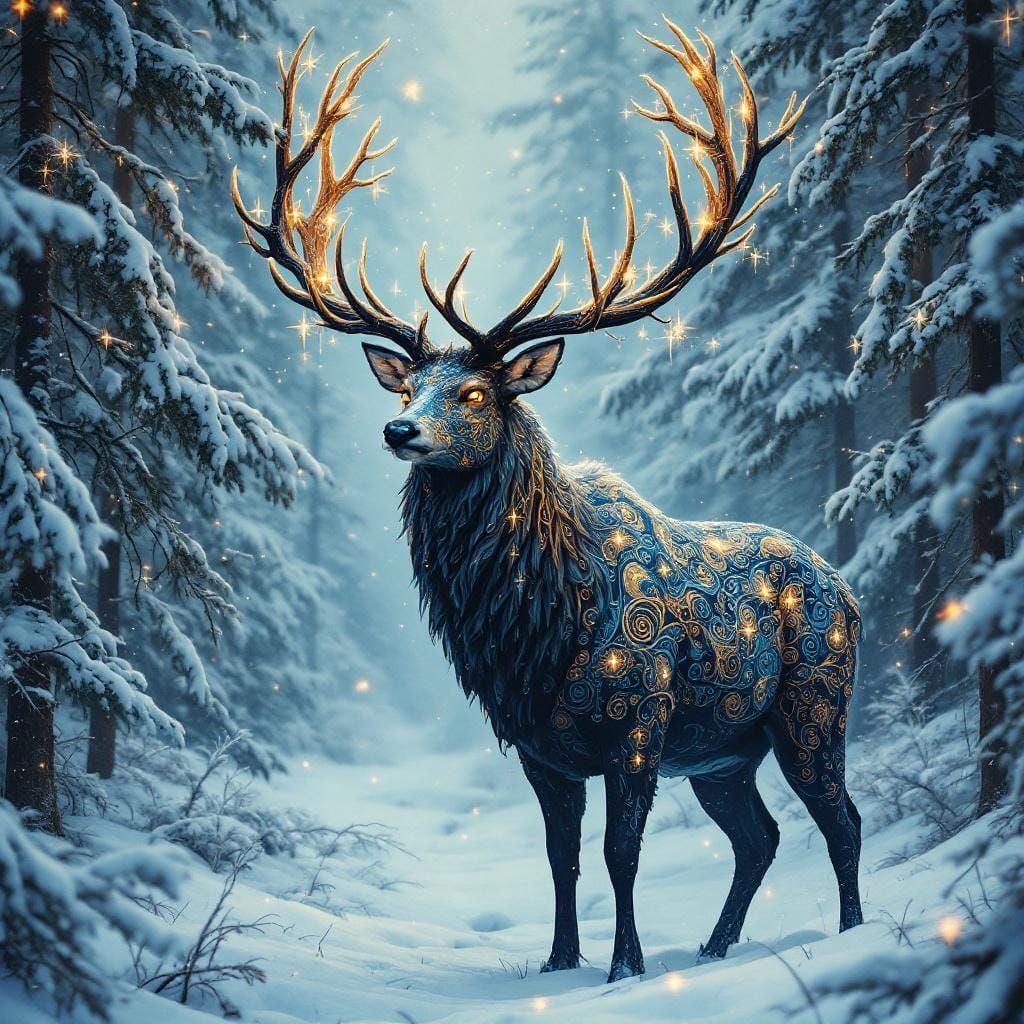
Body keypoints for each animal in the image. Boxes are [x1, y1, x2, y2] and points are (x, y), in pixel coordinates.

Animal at [233, 19, 863, 984]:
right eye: (408, 383)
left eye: (475, 393)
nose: (398, 431)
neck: (538, 624)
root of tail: (852, 589)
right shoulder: (536, 745)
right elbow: (560, 857)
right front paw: (561, 962)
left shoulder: (640, 720)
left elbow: (619, 854)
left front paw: (625, 968)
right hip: (724, 752)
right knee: (757, 836)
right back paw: (715, 948)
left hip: (813, 704)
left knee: (841, 820)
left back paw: (850, 936)